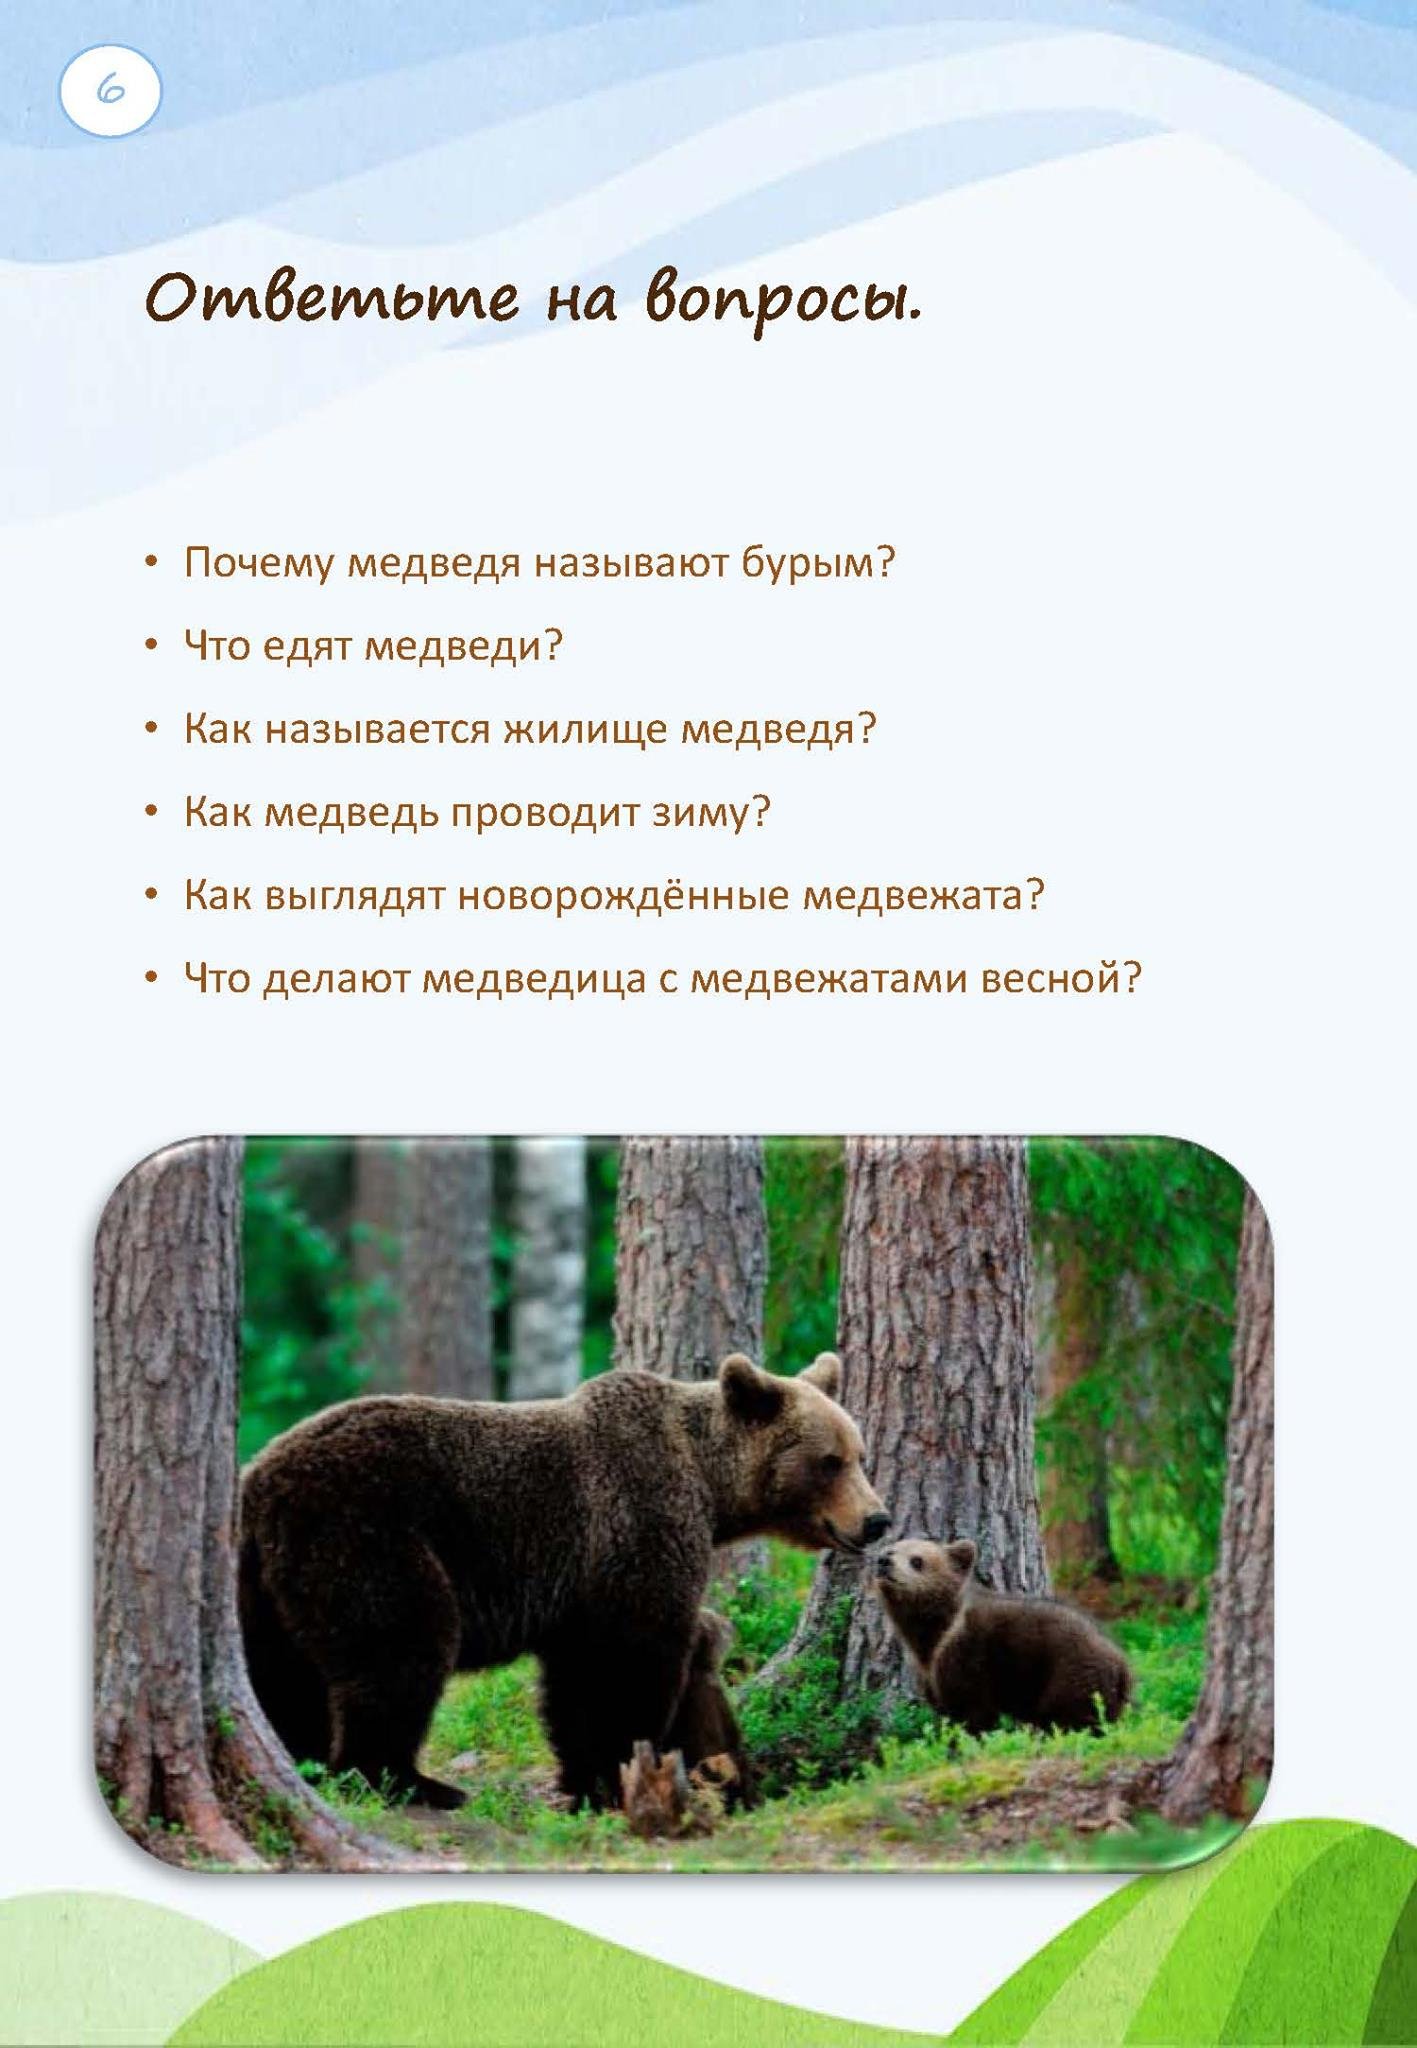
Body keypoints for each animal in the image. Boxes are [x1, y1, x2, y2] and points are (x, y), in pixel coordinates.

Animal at [240, 1351, 887, 1810]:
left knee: (279, 1669)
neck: (709, 1487)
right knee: (402, 1647)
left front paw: (585, 1780)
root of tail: (262, 1477)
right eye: (829, 1461)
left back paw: (305, 1758)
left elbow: (575, 1678)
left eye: (859, 1453)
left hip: (263, 1576)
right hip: (368, 1534)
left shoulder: (578, 1587)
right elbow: (629, 1661)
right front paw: (616, 1773)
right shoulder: (635, 1522)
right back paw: (408, 1780)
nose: (876, 1519)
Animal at [872, 1537, 1131, 1736]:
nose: (884, 1561)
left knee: (1068, 1718)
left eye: (917, 1560)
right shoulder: (928, 1671)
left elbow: (971, 1710)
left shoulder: (967, 1655)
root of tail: (1122, 1664)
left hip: (1070, 1674)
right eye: (890, 1549)